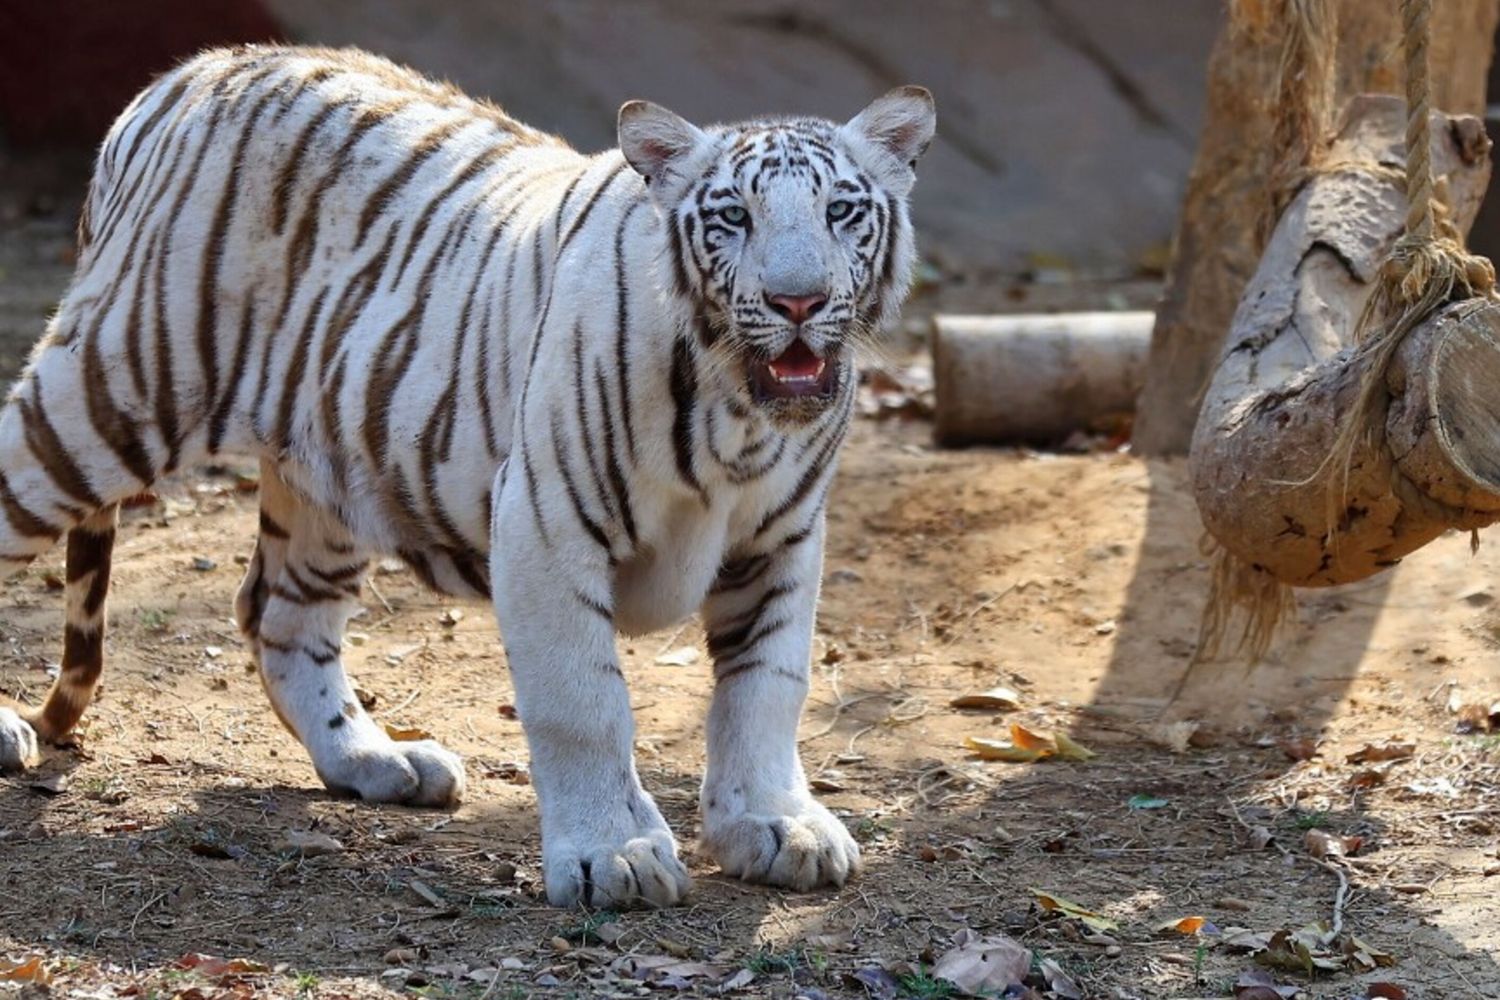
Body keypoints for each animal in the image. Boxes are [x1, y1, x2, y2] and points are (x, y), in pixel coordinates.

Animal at [0, 45, 934, 907]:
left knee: (278, 613)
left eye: (842, 211)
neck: (739, 420)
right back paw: (9, 730)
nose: (797, 302)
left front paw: (775, 825)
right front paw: (614, 855)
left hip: (331, 467)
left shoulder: (782, 539)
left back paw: (375, 760)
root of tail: (184, 75)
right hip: (109, 393)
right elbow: (583, 703)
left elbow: (766, 689)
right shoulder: (549, 520)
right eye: (733, 216)